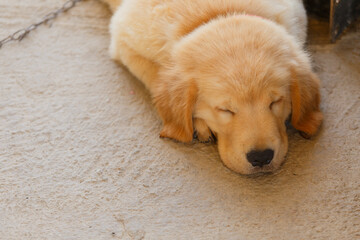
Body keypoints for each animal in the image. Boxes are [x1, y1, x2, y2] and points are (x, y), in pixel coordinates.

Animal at [100, 0, 324, 173]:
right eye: (225, 110)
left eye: (275, 102)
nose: (261, 158)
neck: (220, 12)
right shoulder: (124, 41)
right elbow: (157, 78)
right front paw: (200, 123)